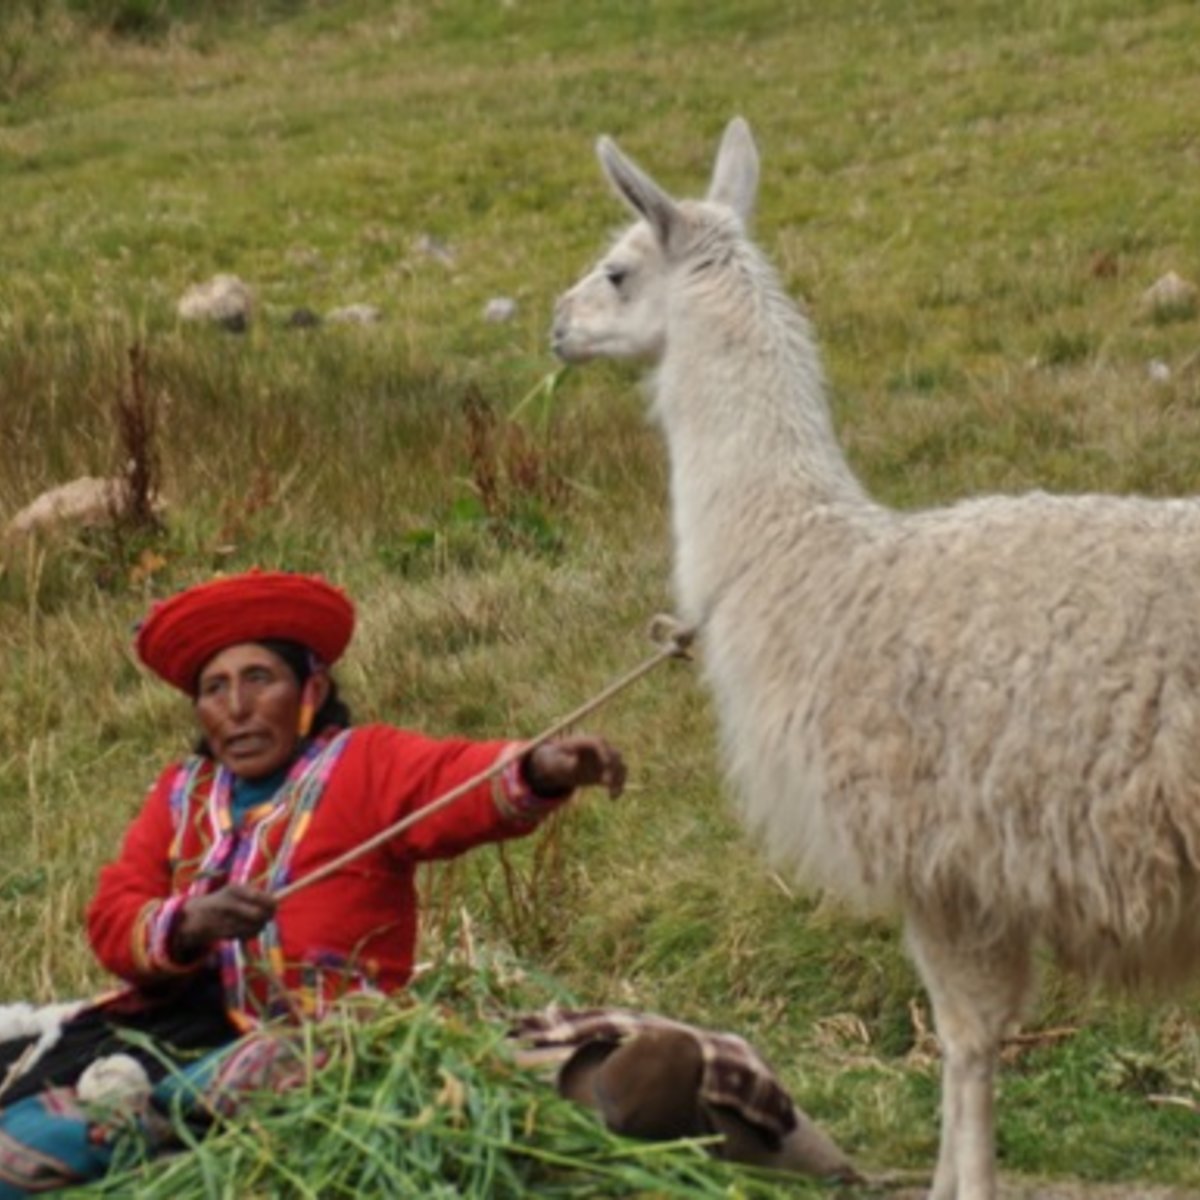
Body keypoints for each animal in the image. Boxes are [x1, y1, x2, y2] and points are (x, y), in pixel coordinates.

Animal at [554, 114, 1200, 1200]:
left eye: (616, 270)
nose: (555, 325)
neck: (812, 564)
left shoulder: (948, 860)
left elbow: (969, 1044)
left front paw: (964, 1184)